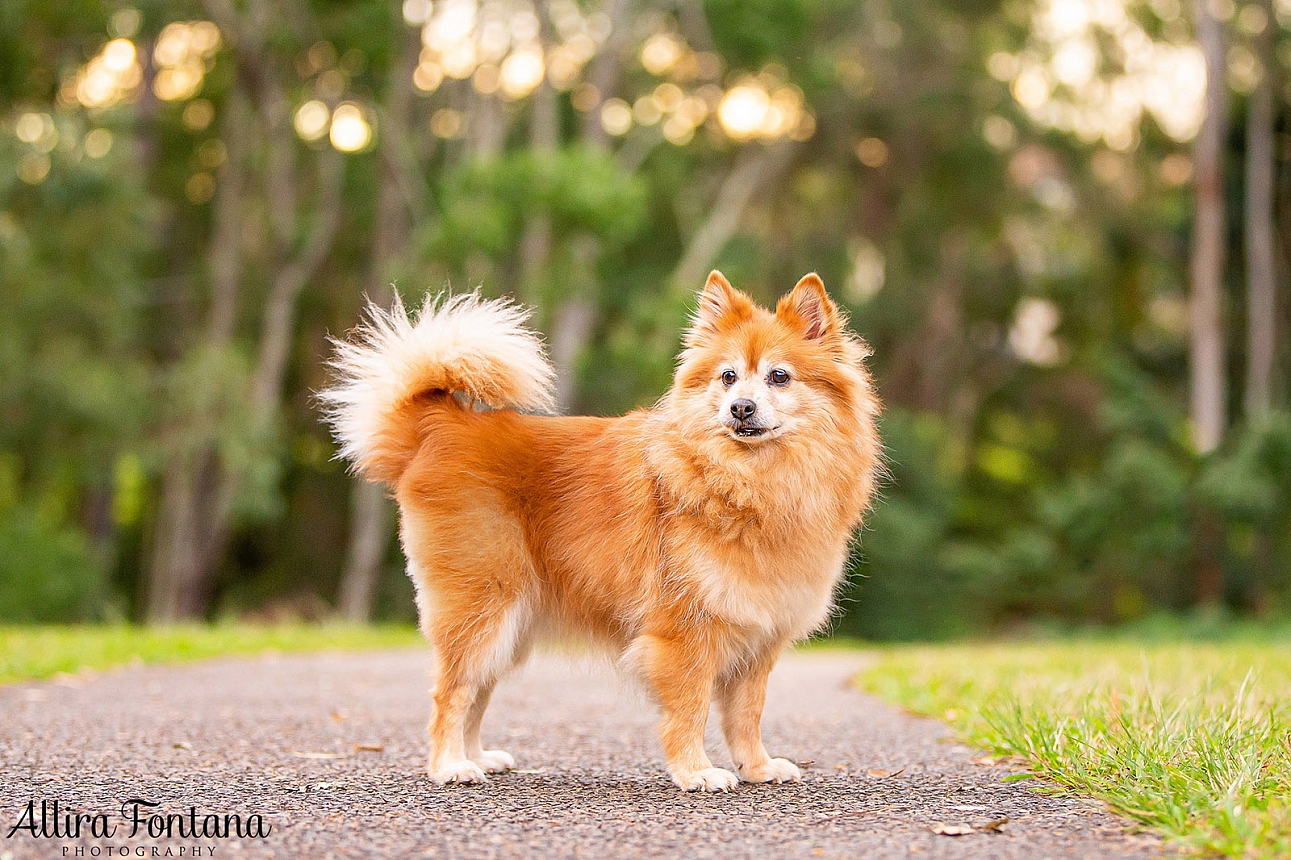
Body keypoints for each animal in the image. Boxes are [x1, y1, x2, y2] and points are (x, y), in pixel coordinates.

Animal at [318, 271, 883, 785]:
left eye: (779, 377)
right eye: (727, 377)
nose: (740, 406)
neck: (751, 482)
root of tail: (441, 424)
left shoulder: (756, 641)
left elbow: (746, 715)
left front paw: (758, 768)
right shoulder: (684, 636)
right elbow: (691, 711)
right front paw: (697, 772)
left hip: (510, 624)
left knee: (477, 691)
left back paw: (478, 757)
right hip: (482, 606)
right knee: (451, 691)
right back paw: (450, 766)